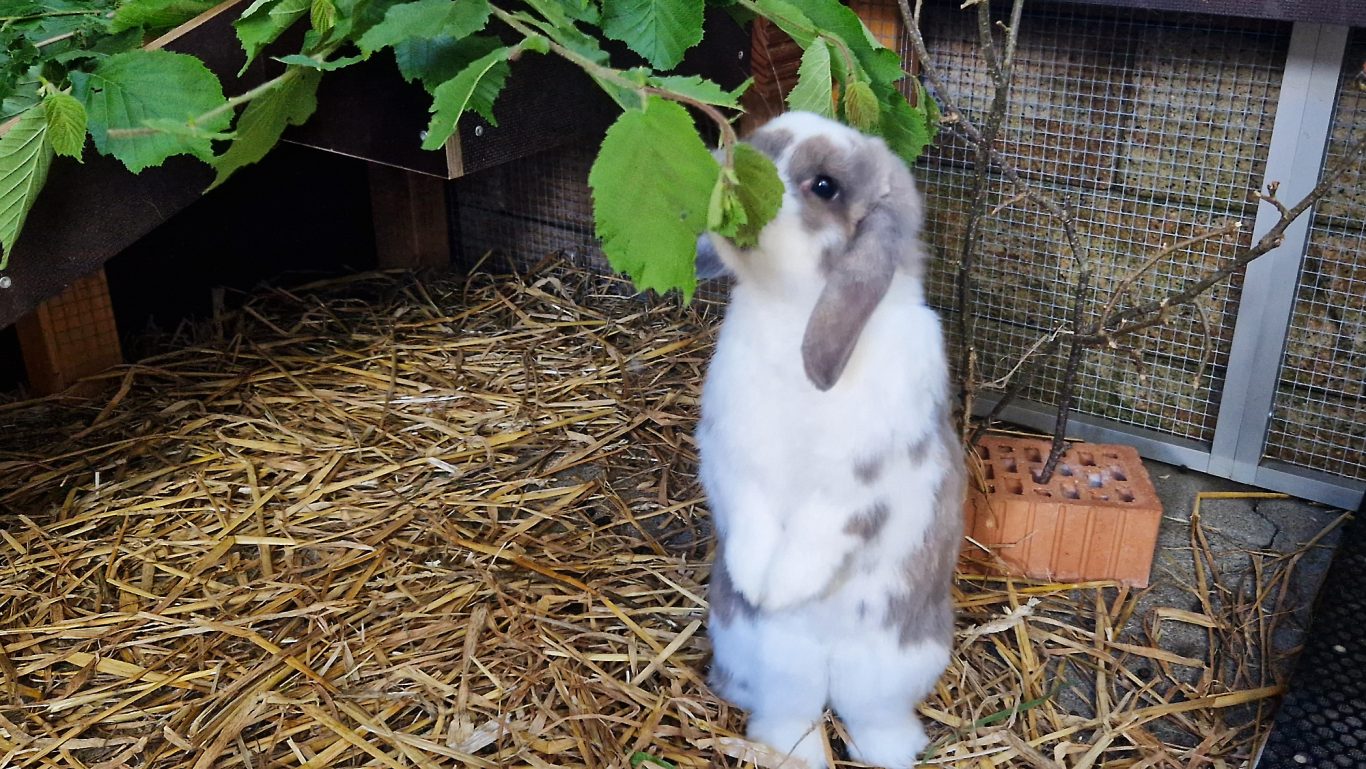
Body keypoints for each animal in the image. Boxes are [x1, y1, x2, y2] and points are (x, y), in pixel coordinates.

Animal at [696, 111, 964, 769]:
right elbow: (750, 513)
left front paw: (783, 585)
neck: (792, 313)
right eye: (756, 145)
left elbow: (825, 528)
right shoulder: (731, 456)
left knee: (873, 716)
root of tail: (827, 667)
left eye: (824, 186)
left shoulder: (862, 482)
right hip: (768, 659)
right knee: (792, 716)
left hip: (896, 666)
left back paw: (895, 752)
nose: (729, 175)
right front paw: (756, 583)